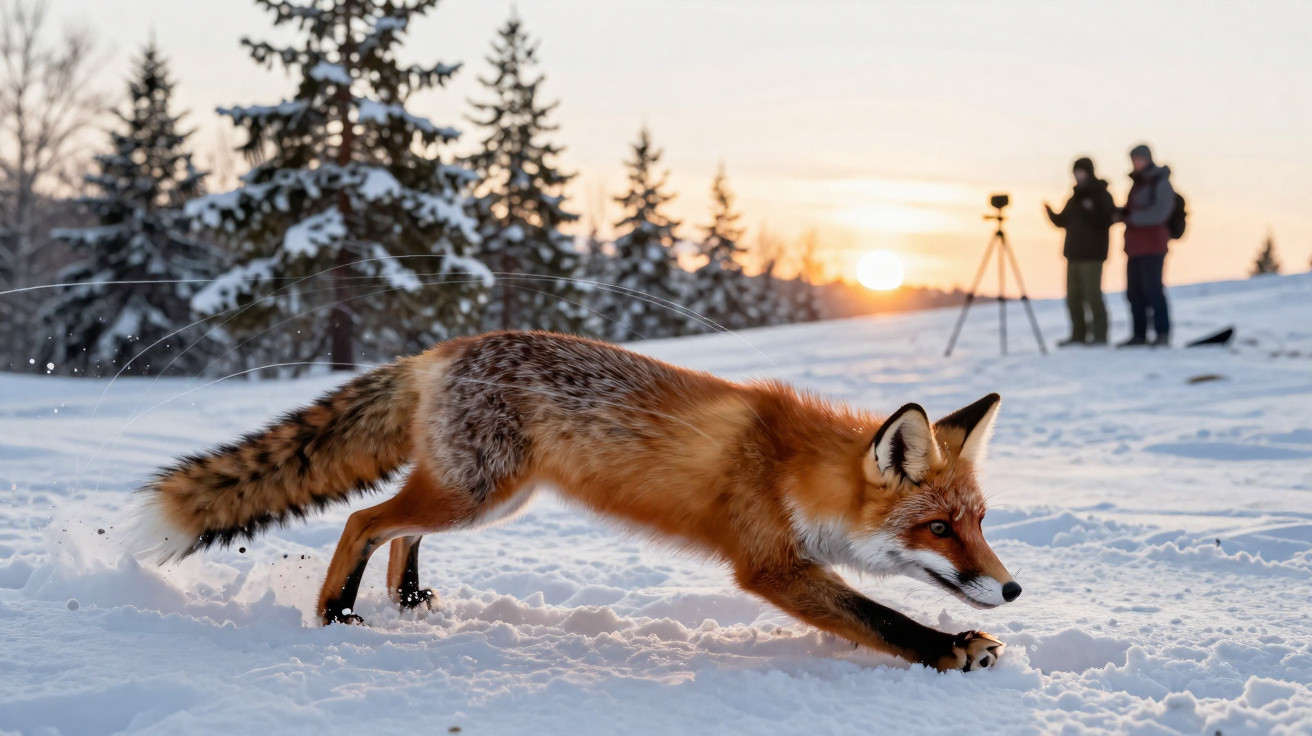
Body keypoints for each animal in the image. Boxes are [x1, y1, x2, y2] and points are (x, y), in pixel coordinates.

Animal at [134, 331, 1021, 672]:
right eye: (937, 528)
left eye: (979, 523)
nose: (1012, 589)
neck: (791, 471)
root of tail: (442, 349)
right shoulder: (769, 565)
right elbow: (881, 617)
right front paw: (950, 649)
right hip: (476, 496)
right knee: (364, 518)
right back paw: (337, 612)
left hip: (483, 498)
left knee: (397, 529)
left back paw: (408, 599)